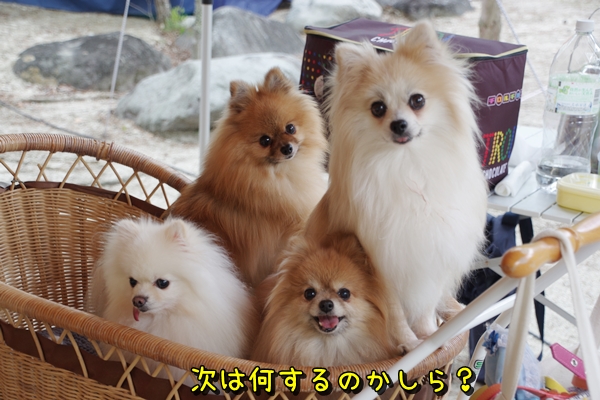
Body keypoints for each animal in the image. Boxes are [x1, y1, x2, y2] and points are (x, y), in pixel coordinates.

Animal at [305, 21, 488, 352]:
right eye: (378, 108)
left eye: (417, 100)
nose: (399, 124)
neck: (407, 165)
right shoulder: (383, 266)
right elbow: (396, 312)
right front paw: (410, 344)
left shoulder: (431, 257)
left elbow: (425, 307)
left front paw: (429, 337)